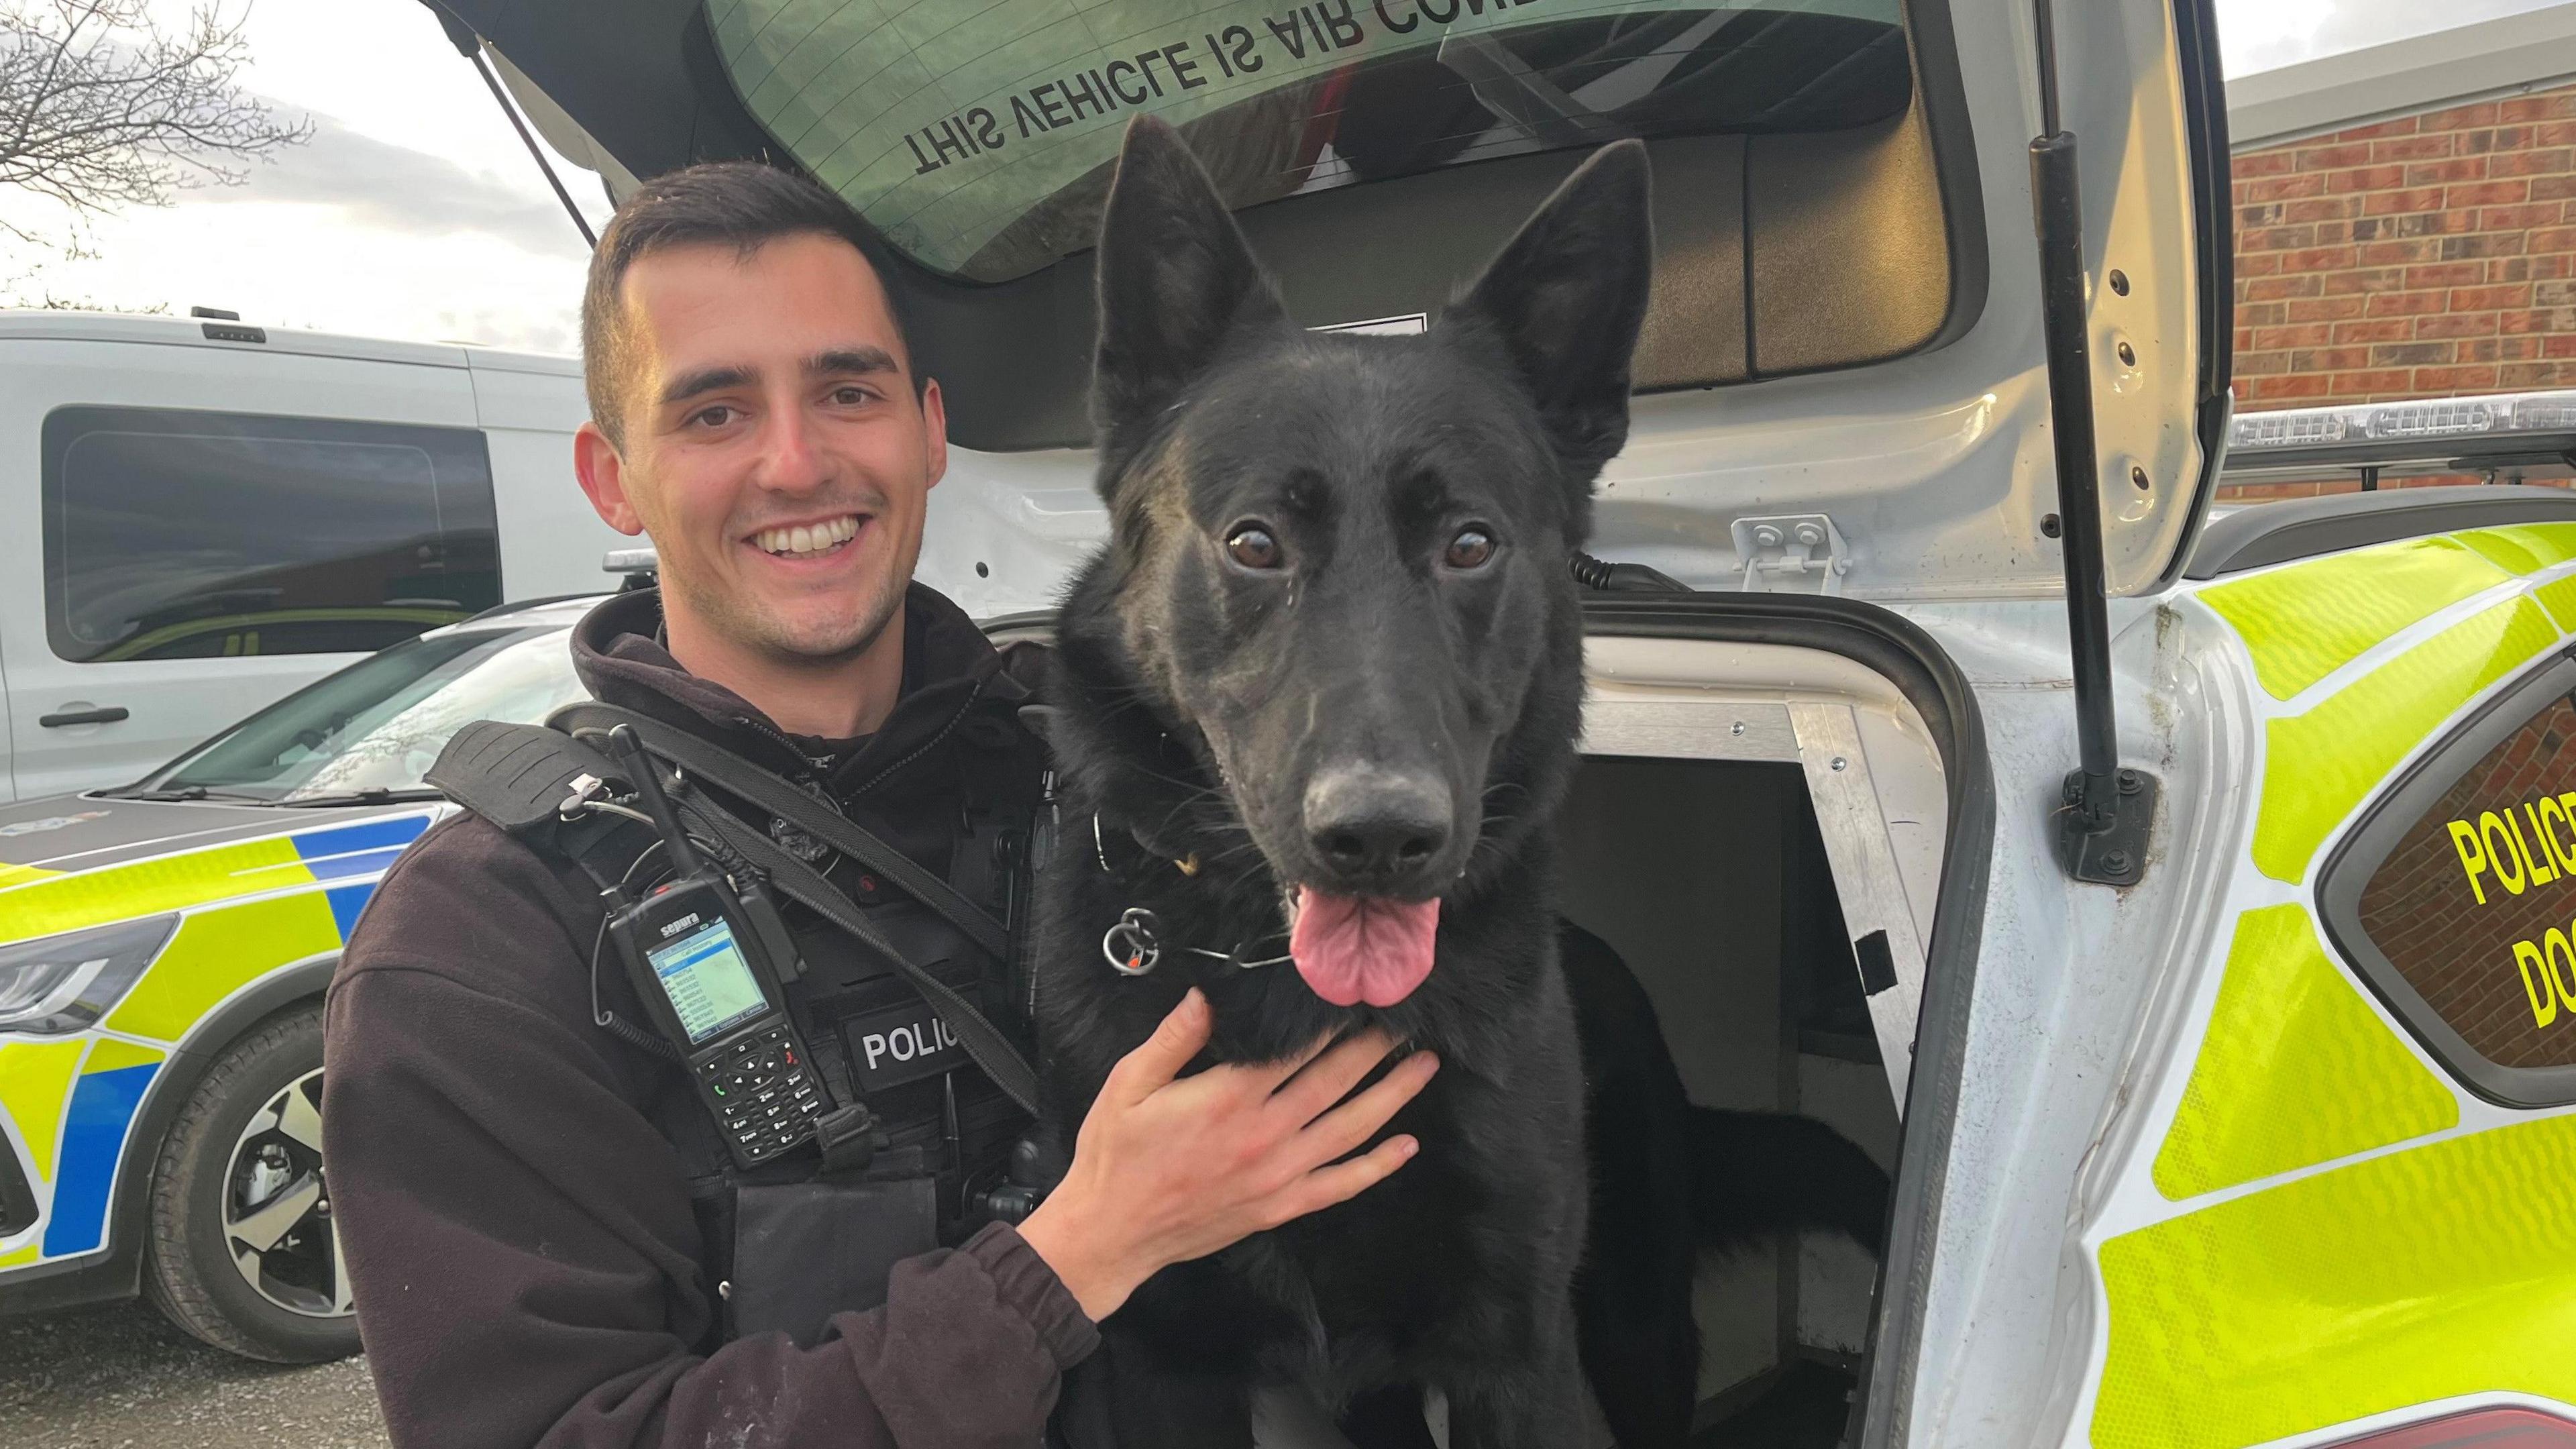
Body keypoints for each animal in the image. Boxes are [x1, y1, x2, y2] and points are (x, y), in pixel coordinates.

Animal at [1030, 115, 1896, 1444]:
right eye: (1253, 544)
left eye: (1471, 545)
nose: (1382, 837)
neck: (1291, 992)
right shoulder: (1167, 1357)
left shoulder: (1511, 1351)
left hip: (1633, 1326)